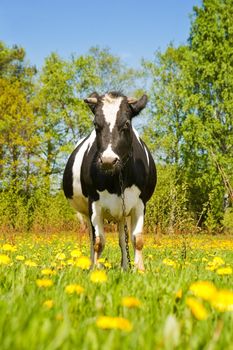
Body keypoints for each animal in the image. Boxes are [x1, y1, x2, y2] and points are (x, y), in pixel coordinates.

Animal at [62, 91, 157, 270]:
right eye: (96, 124)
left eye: (126, 123)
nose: (107, 160)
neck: (117, 180)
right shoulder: (93, 203)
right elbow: (99, 242)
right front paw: (95, 270)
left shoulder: (140, 202)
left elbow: (137, 239)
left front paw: (140, 270)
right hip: (87, 212)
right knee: (92, 239)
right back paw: (92, 264)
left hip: (124, 212)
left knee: (123, 239)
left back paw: (126, 267)